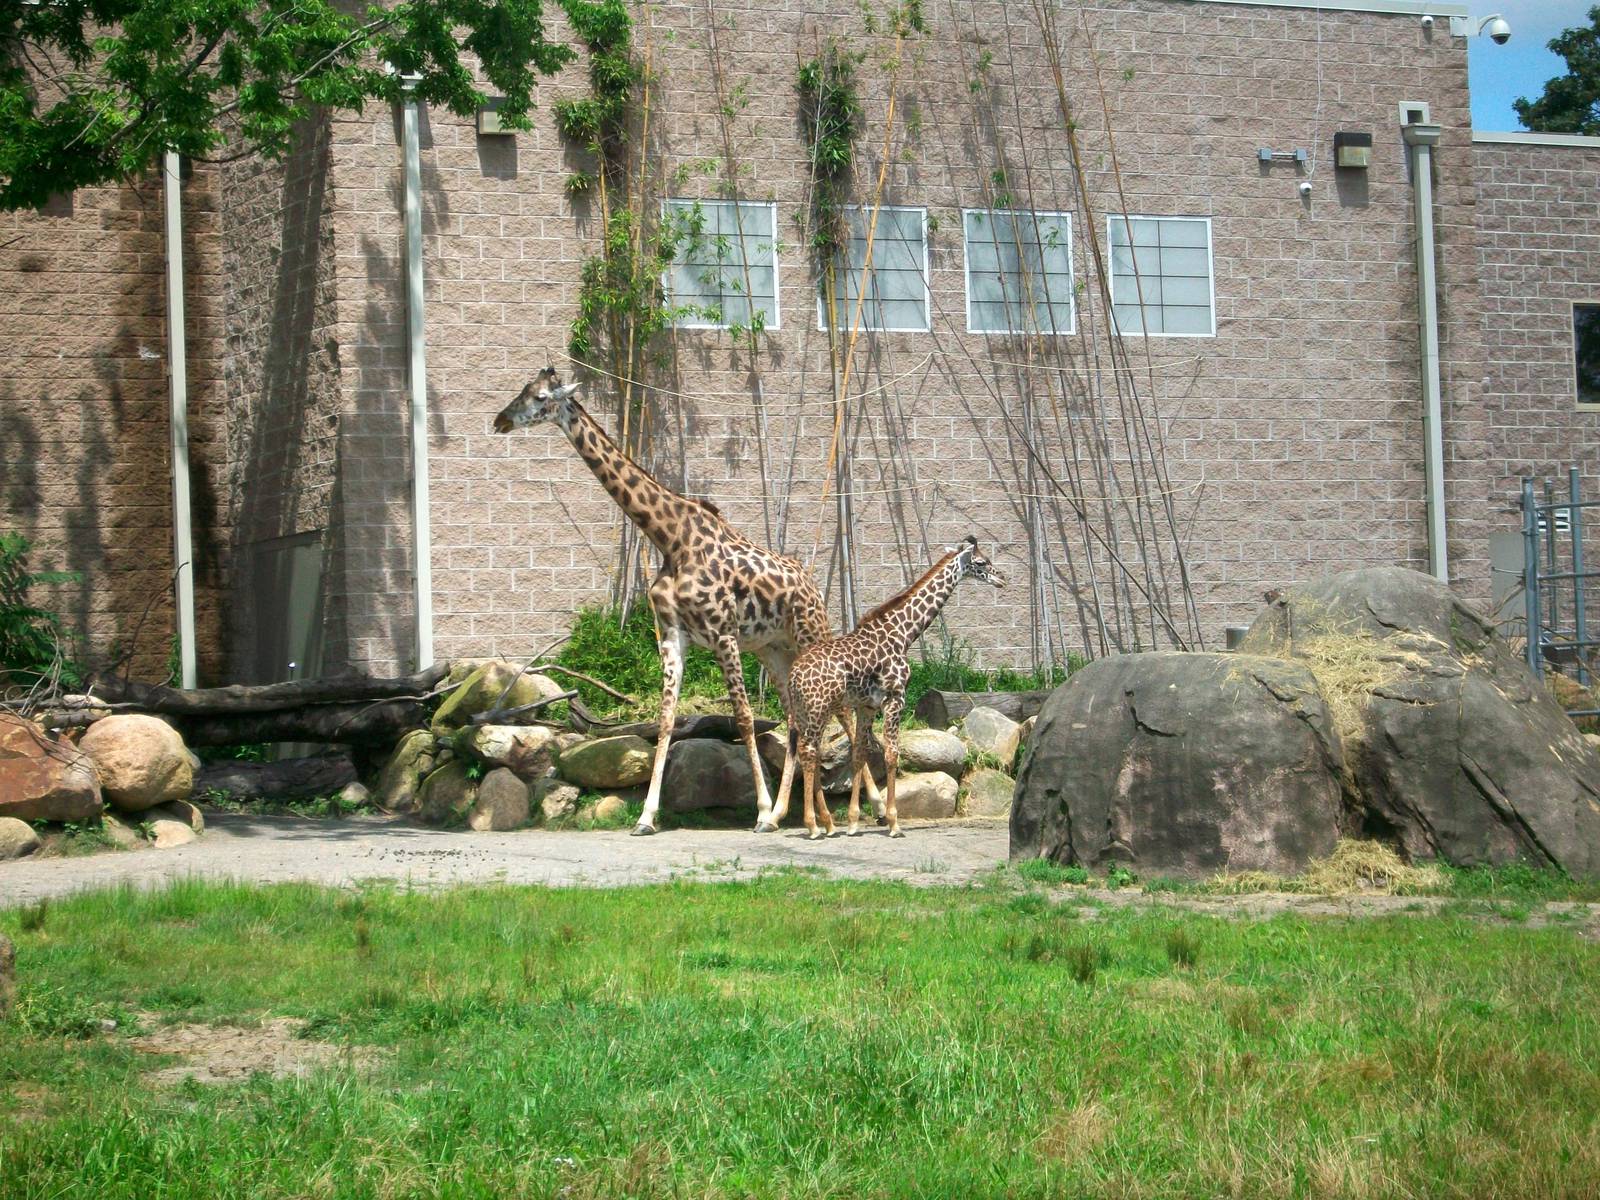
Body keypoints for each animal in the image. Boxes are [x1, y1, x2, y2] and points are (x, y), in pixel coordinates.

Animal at [491, 366, 877, 835]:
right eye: (522, 390)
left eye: (541, 397)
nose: (501, 420)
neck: (669, 538)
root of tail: (812, 585)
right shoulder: (673, 636)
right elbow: (666, 720)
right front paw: (646, 816)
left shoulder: (724, 634)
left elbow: (744, 718)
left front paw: (760, 809)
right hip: (773, 650)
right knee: (795, 717)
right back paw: (792, 814)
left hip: (810, 636)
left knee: (842, 710)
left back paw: (867, 807)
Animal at [782, 536, 1007, 839]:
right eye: (981, 562)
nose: (1002, 579)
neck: (903, 634)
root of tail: (794, 675)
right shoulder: (895, 698)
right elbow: (891, 754)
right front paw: (893, 822)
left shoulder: (867, 705)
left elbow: (859, 755)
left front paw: (853, 822)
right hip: (819, 708)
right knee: (808, 752)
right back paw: (813, 825)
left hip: (807, 710)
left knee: (810, 752)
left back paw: (828, 823)